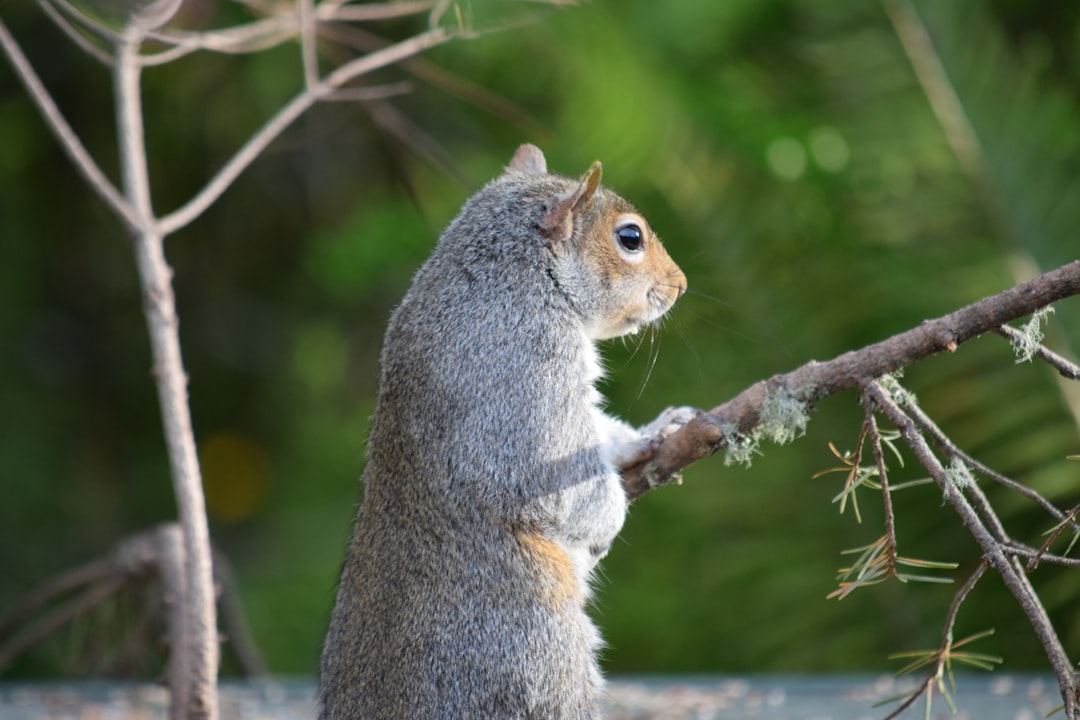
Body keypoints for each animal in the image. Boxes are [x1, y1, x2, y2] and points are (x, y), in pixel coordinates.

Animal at [319, 143, 691, 716]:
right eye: (630, 238)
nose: (681, 285)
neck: (517, 278)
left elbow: (601, 435)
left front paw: (652, 434)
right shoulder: (530, 379)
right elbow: (562, 483)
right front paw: (608, 523)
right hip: (540, 662)